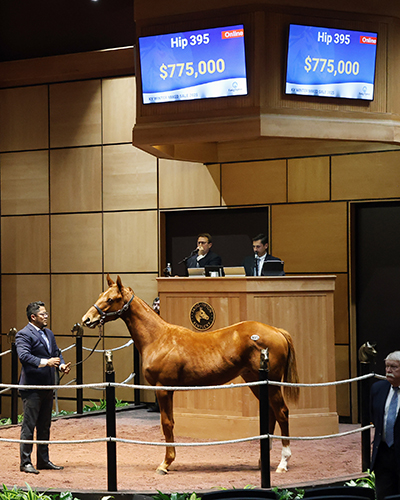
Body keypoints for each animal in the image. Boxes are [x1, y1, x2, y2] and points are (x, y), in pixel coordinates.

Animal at [82, 276, 300, 474]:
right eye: (101, 295)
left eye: (111, 299)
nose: (87, 319)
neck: (158, 338)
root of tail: (276, 331)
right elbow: (170, 423)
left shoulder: (163, 389)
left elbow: (167, 424)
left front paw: (165, 464)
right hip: (256, 381)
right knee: (271, 413)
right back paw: (262, 460)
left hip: (271, 383)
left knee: (282, 413)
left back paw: (283, 463)